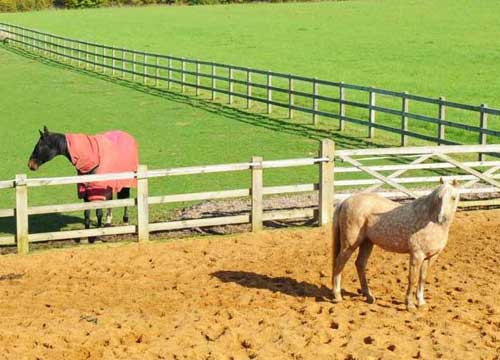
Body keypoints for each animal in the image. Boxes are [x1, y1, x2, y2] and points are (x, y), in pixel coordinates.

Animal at [332, 179, 460, 310]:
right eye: (439, 198)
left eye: (453, 198)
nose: (441, 218)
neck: (429, 219)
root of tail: (345, 200)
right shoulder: (417, 255)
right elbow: (412, 278)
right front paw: (410, 305)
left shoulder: (431, 257)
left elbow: (422, 278)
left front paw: (421, 303)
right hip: (349, 244)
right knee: (339, 264)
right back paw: (337, 296)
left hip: (367, 243)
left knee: (360, 264)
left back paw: (369, 296)